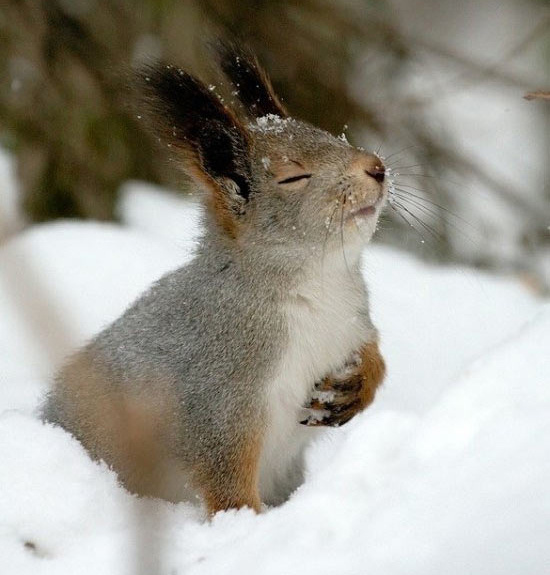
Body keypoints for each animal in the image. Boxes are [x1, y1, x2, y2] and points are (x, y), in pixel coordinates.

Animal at [41, 42, 388, 516]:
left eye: (333, 135)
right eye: (293, 176)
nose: (377, 166)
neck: (318, 284)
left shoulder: (353, 322)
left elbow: (374, 354)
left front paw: (358, 384)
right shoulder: (219, 394)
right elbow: (225, 477)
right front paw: (246, 522)